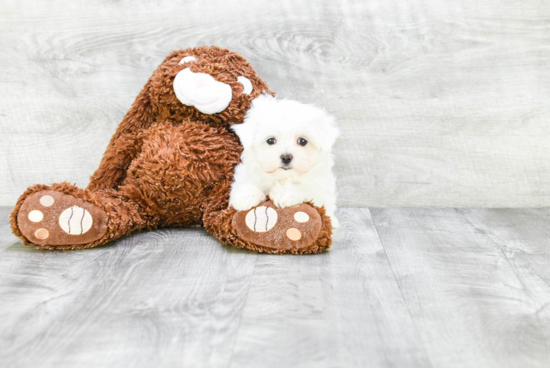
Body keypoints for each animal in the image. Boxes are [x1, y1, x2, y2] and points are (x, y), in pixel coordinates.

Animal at [229, 95, 340, 227]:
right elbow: (244, 182)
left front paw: (285, 193)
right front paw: (246, 195)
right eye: (270, 140)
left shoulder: (320, 189)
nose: (286, 157)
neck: (282, 177)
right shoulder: (247, 172)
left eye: (303, 141)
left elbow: (307, 189)